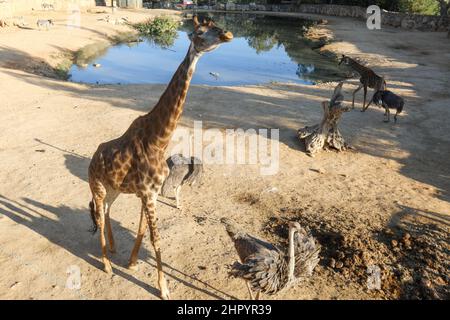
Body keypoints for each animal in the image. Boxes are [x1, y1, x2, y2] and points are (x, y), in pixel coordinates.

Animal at [89, 15, 236, 300]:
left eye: (216, 25)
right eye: (200, 32)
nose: (228, 34)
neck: (159, 140)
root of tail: (91, 159)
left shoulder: (151, 192)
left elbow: (142, 229)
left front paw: (132, 262)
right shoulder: (147, 192)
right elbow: (155, 238)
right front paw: (164, 288)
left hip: (113, 188)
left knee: (108, 211)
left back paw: (113, 248)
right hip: (97, 186)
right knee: (99, 216)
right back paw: (107, 265)